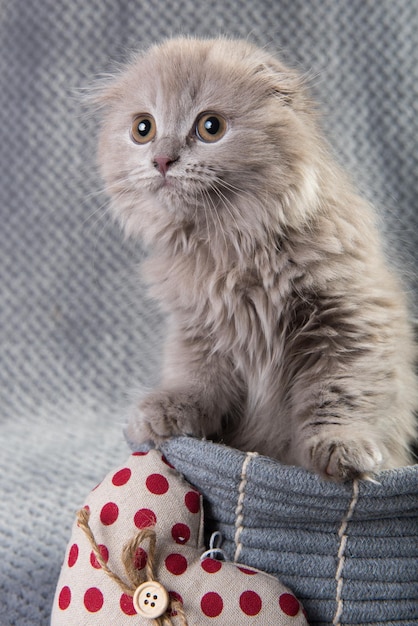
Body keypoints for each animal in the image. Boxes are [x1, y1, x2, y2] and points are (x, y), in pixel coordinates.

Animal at [95, 36, 418, 480]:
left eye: (210, 126)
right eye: (143, 129)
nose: (161, 159)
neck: (232, 249)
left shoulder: (351, 321)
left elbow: (340, 393)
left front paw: (344, 448)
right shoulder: (198, 332)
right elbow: (195, 382)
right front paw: (160, 412)